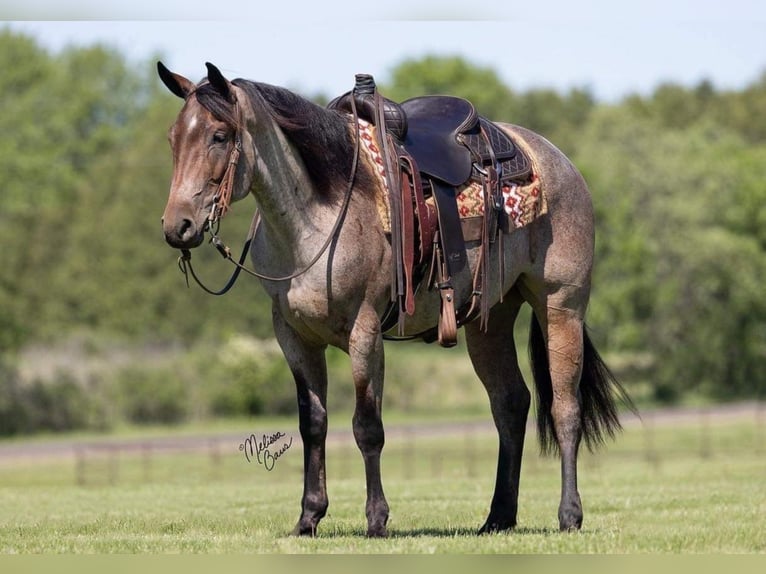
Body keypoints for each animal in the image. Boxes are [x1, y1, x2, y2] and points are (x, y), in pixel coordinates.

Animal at [159, 63, 632, 540]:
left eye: (219, 135)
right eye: (173, 137)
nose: (177, 226)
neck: (317, 216)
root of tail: (557, 158)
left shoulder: (365, 331)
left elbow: (367, 425)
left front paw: (376, 519)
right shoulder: (293, 336)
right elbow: (313, 423)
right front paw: (309, 517)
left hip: (561, 307)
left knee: (565, 408)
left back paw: (569, 514)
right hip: (491, 317)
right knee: (510, 404)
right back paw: (498, 516)